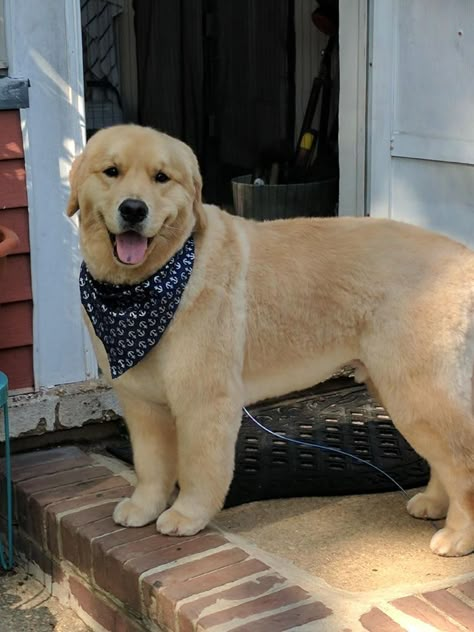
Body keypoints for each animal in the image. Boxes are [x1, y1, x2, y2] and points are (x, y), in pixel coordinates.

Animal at [67, 124, 474, 556]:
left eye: (162, 178)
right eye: (111, 171)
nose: (133, 209)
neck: (148, 284)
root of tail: (462, 254)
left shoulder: (204, 401)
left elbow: (197, 468)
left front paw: (187, 515)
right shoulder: (141, 402)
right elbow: (150, 466)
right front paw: (144, 506)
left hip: (415, 391)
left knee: (463, 462)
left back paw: (459, 535)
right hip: (397, 389)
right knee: (444, 458)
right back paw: (434, 503)